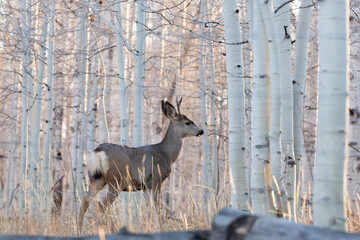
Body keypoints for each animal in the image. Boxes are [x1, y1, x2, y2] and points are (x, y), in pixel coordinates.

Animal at [78, 98, 202, 230]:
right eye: (188, 122)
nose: (201, 131)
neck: (166, 154)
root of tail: (97, 151)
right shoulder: (155, 180)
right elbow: (157, 207)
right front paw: (160, 227)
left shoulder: (145, 186)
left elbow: (149, 207)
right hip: (117, 179)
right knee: (103, 204)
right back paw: (110, 228)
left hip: (96, 178)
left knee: (86, 200)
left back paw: (80, 228)